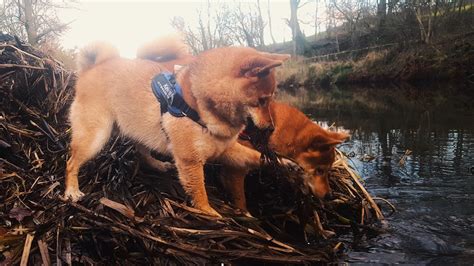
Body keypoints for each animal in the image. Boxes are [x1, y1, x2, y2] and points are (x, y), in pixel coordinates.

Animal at [65, 37, 290, 216]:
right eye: (262, 100)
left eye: (271, 99)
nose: (271, 128)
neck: (200, 103)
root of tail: (91, 68)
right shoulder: (191, 161)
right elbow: (200, 192)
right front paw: (210, 213)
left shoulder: (226, 149)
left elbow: (254, 156)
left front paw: (286, 164)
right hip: (96, 137)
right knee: (71, 163)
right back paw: (71, 191)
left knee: (142, 153)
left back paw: (157, 164)